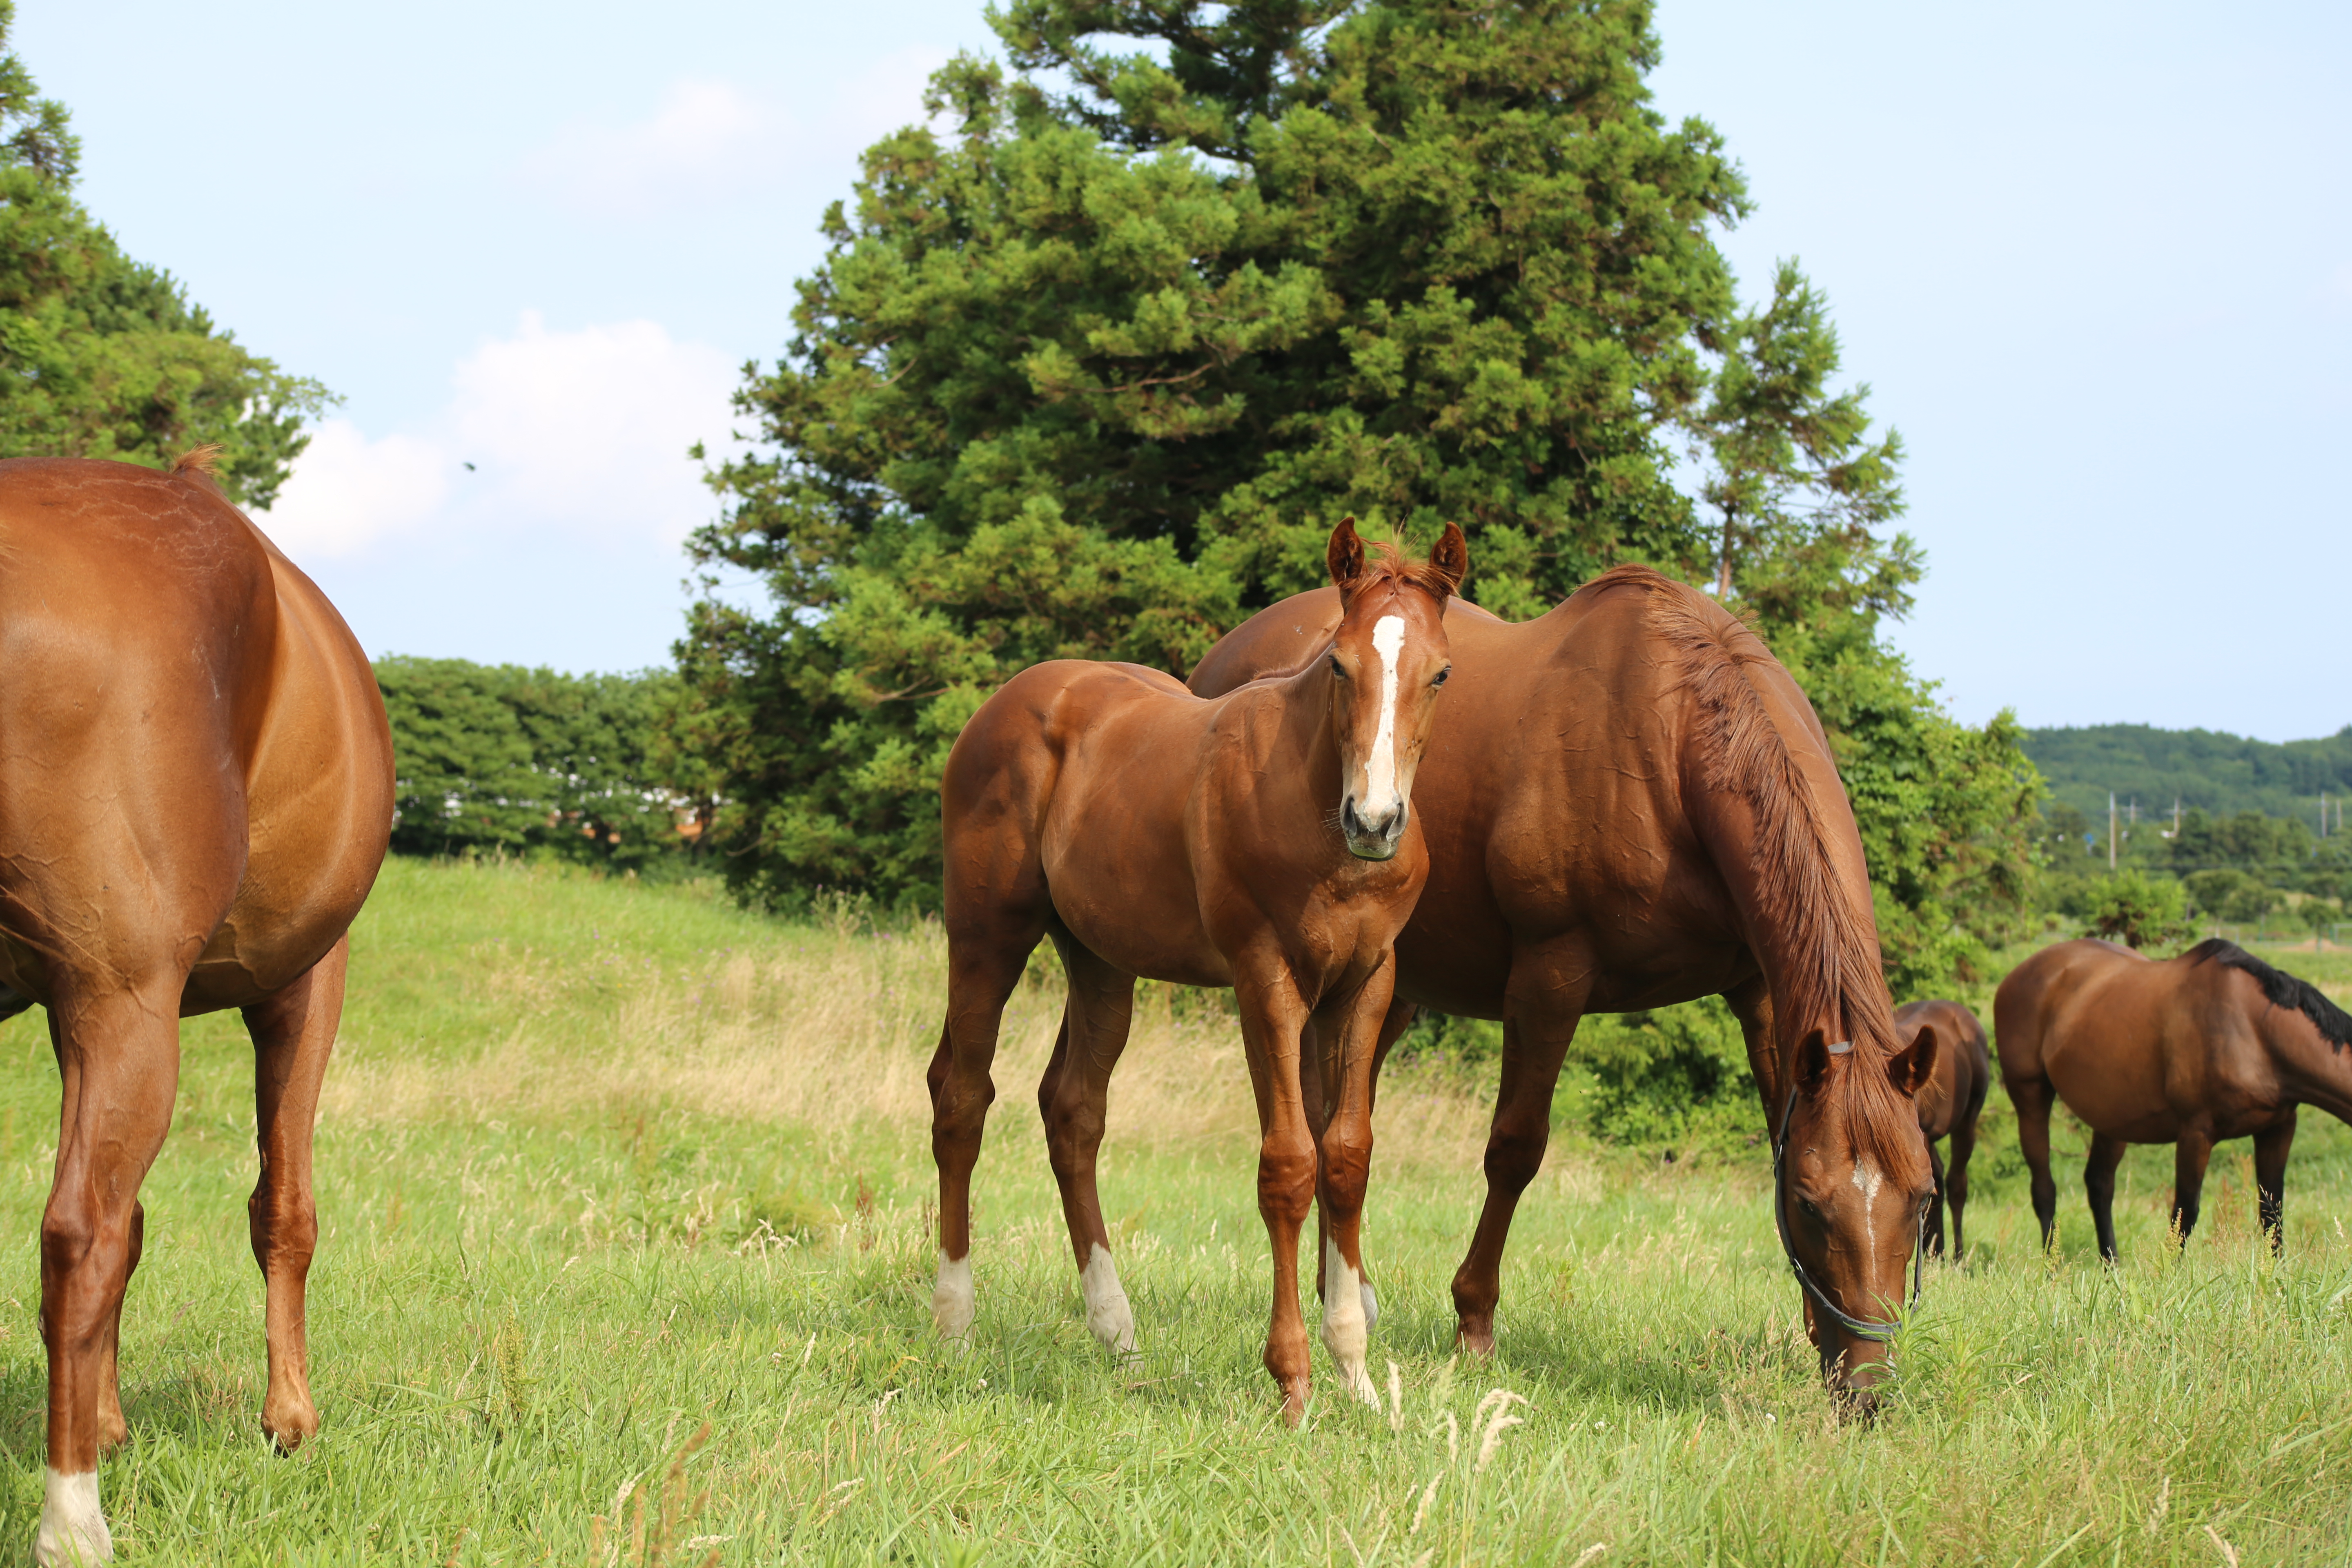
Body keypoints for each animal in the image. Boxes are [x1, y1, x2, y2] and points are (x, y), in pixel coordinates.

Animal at [0, 451, 395, 1561]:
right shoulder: (301, 985)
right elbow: (282, 1209)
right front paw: (289, 1419)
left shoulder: (74, 1012)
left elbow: (138, 1228)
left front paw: (105, 1416)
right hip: (136, 1003)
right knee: (78, 1236)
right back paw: (72, 1519)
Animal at [927, 522, 1458, 1420]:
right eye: (1340, 664)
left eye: (1442, 672)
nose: (1377, 821)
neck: (1317, 815)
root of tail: (1007, 702)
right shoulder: (1264, 976)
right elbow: (1289, 1164)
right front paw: (1293, 1381)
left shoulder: (1367, 983)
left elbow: (1347, 1158)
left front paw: (1356, 1374)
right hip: (986, 934)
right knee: (963, 1098)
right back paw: (956, 1324)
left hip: (1101, 960)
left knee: (1073, 1111)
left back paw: (1118, 1335)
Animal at [1204, 566, 1938, 1410]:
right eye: (1814, 1206)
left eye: (1923, 1198)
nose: (1868, 1388)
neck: (1665, 740)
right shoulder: (1550, 976)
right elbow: (1515, 1150)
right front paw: (1474, 1326)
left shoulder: (1760, 991)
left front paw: (1817, 1337)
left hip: (1380, 988)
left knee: (1335, 1120)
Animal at [1985, 931, 2352, 1260]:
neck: (2251, 1030)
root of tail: (2015, 977)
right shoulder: (2196, 1133)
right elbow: (2184, 1215)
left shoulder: (2278, 1128)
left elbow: (2272, 1212)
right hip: (2030, 1099)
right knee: (2044, 1189)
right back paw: (2052, 1270)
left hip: (2113, 1119)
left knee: (2100, 1186)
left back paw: (2112, 1270)